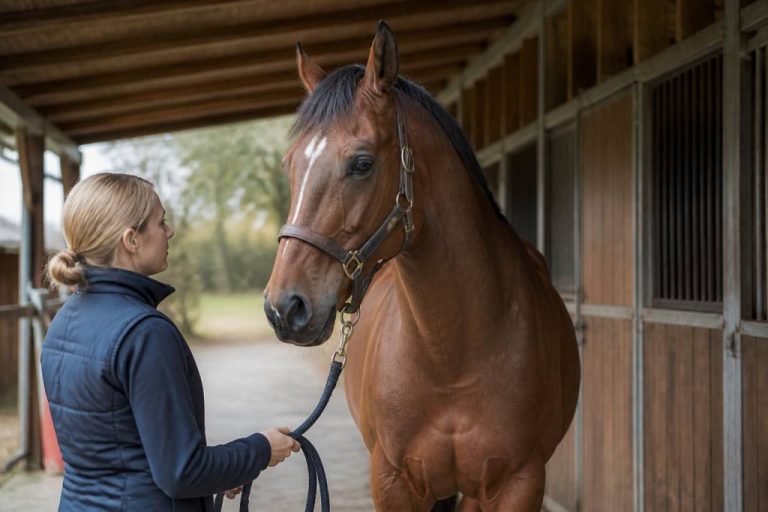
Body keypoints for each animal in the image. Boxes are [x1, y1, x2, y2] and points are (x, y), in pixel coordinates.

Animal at [264, 22, 581, 512]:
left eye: (361, 163)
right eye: (290, 164)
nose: (284, 307)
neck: (451, 360)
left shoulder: (519, 484)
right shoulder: (392, 481)